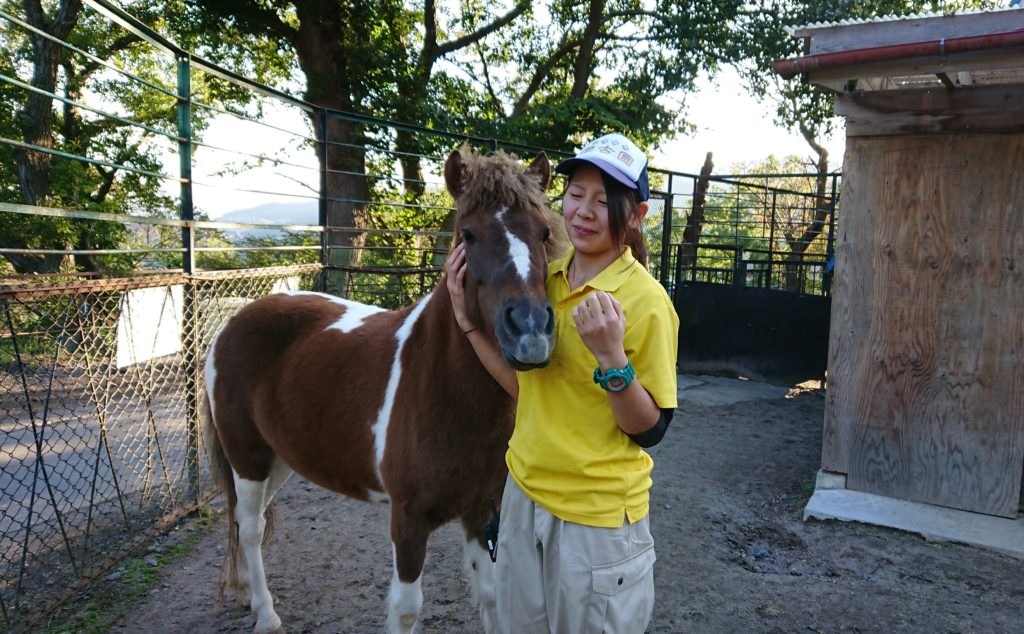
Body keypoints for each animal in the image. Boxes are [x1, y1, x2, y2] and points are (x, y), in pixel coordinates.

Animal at [202, 146, 565, 630]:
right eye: (467, 234)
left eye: (543, 232)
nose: (529, 329)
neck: (448, 390)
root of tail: (232, 322)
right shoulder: (408, 518)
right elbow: (407, 609)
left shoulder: (480, 508)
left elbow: (489, 596)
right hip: (248, 458)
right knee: (250, 525)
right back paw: (265, 612)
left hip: (278, 458)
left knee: (249, 522)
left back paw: (244, 591)